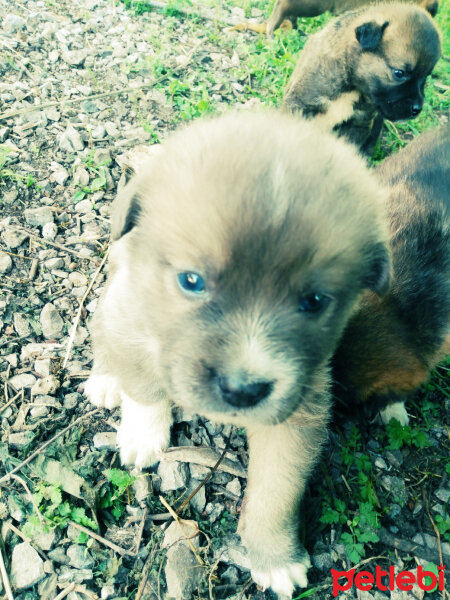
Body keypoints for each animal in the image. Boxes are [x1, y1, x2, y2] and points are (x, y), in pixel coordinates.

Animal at [84, 111, 390, 596]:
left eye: (315, 302)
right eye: (191, 281)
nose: (243, 390)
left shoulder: (297, 416)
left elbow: (276, 493)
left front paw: (275, 558)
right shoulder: (132, 318)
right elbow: (145, 386)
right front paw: (143, 436)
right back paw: (104, 380)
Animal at [284, 3, 442, 154]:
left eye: (425, 78)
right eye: (399, 73)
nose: (417, 109)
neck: (352, 87)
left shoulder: (359, 124)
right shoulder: (300, 105)